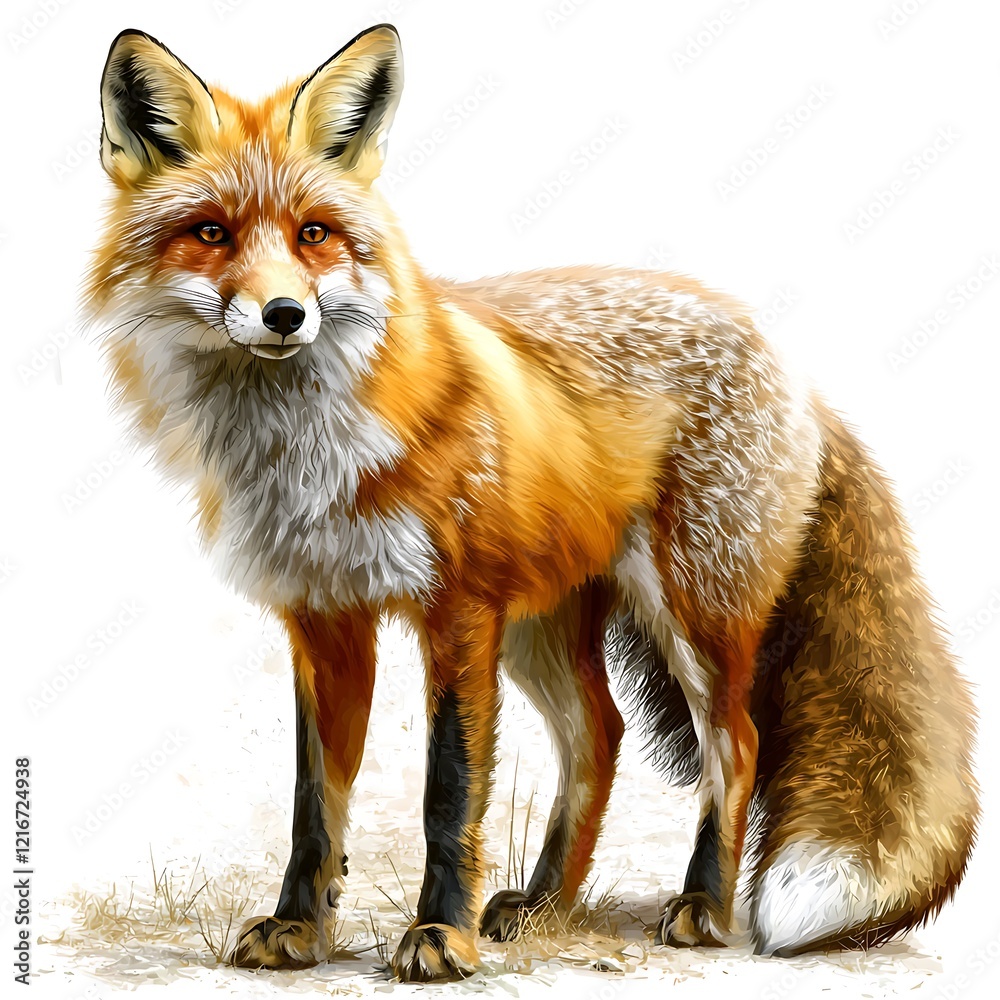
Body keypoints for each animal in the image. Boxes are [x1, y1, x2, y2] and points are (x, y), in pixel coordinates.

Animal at [84, 23, 979, 983]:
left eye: (313, 233)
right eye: (210, 233)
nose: (285, 314)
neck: (306, 455)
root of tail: (788, 365)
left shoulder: (458, 609)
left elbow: (448, 794)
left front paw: (440, 935)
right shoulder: (324, 617)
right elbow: (313, 803)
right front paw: (299, 926)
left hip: (687, 610)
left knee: (734, 746)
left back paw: (703, 905)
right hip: (544, 625)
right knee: (602, 733)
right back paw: (550, 901)